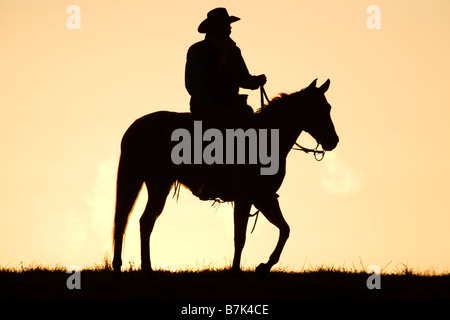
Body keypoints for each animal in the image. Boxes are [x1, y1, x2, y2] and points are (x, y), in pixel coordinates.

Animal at [111, 78, 338, 278]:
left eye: (328, 107)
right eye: (317, 108)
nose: (333, 140)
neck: (266, 140)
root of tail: (135, 126)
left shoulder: (264, 197)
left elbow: (285, 229)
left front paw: (264, 267)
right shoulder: (246, 198)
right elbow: (240, 236)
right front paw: (236, 271)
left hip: (157, 184)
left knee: (144, 221)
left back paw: (144, 269)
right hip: (143, 180)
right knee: (127, 219)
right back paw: (126, 267)